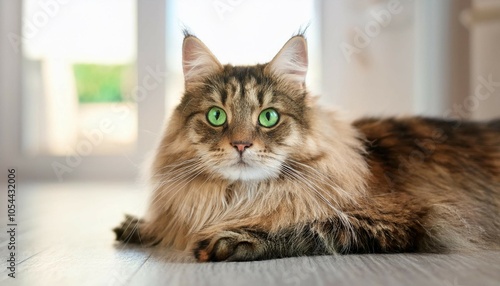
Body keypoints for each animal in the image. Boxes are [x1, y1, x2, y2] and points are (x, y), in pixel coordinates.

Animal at [113, 31, 500, 262]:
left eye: (269, 117)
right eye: (216, 116)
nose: (241, 144)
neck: (239, 196)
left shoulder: (398, 218)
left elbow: (305, 226)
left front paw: (231, 239)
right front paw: (142, 226)